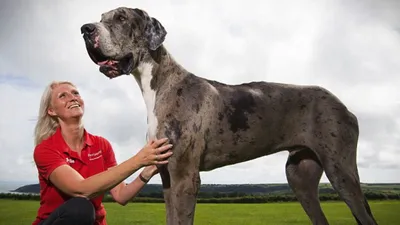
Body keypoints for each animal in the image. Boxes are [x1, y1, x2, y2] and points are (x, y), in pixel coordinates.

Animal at [80, 6, 378, 225]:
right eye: (101, 18)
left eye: (121, 18)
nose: (85, 29)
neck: (159, 84)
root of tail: (344, 106)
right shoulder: (167, 176)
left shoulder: (185, 176)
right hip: (299, 177)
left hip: (341, 171)